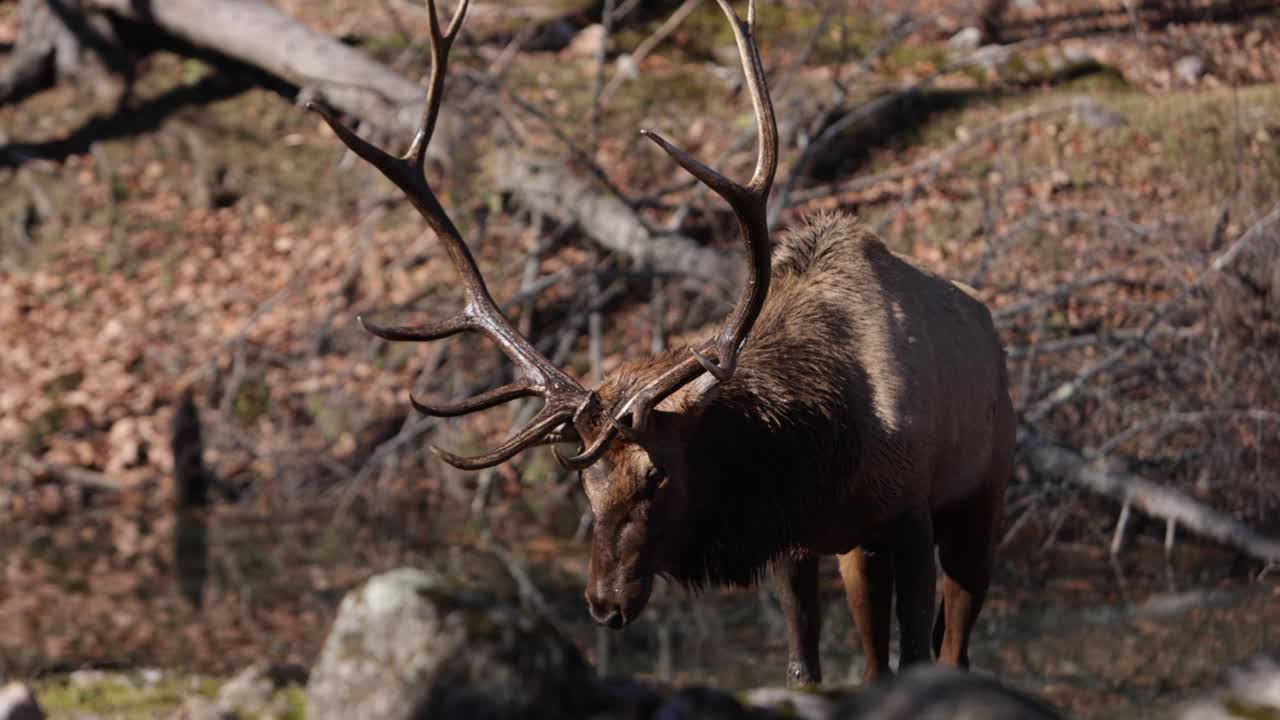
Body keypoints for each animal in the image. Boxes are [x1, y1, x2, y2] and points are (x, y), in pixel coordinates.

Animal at [308, 0, 1014, 688]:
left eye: (659, 473)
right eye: (585, 480)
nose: (604, 604)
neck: (824, 446)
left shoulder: (910, 512)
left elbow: (920, 657)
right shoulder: (800, 539)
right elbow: (804, 669)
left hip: (981, 497)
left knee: (955, 646)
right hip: (858, 552)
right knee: (873, 660)